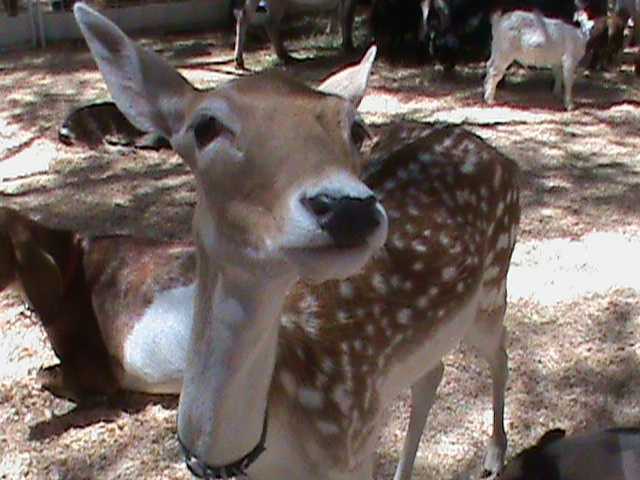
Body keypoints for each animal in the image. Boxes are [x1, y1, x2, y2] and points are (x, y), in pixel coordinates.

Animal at [5, 3, 522, 479]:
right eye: (205, 126)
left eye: (355, 128)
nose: (349, 208)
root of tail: (496, 155)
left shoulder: (350, 446)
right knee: (432, 374)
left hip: (492, 286)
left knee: (499, 350)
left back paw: (495, 456)